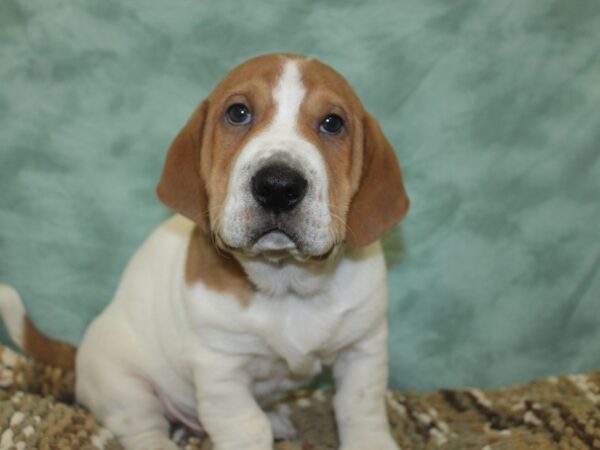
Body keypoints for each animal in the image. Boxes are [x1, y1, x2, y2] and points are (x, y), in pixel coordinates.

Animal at [0, 53, 408, 450]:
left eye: (332, 123)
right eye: (238, 113)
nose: (278, 186)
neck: (286, 283)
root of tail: (81, 351)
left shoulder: (364, 348)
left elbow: (361, 409)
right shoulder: (220, 367)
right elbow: (247, 427)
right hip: (126, 388)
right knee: (143, 430)